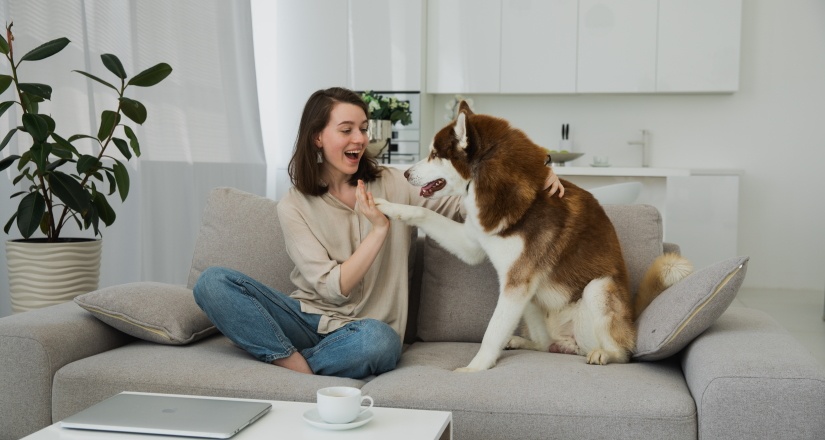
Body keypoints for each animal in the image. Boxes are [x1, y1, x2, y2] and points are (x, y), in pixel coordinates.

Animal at [374, 102, 688, 372]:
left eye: (434, 154)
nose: (405, 173)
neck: (491, 183)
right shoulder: (473, 245)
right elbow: (422, 212)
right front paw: (387, 206)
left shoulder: (516, 283)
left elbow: (491, 332)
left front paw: (474, 369)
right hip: (534, 303)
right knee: (544, 344)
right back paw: (522, 341)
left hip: (599, 289)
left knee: (623, 352)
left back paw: (605, 354)